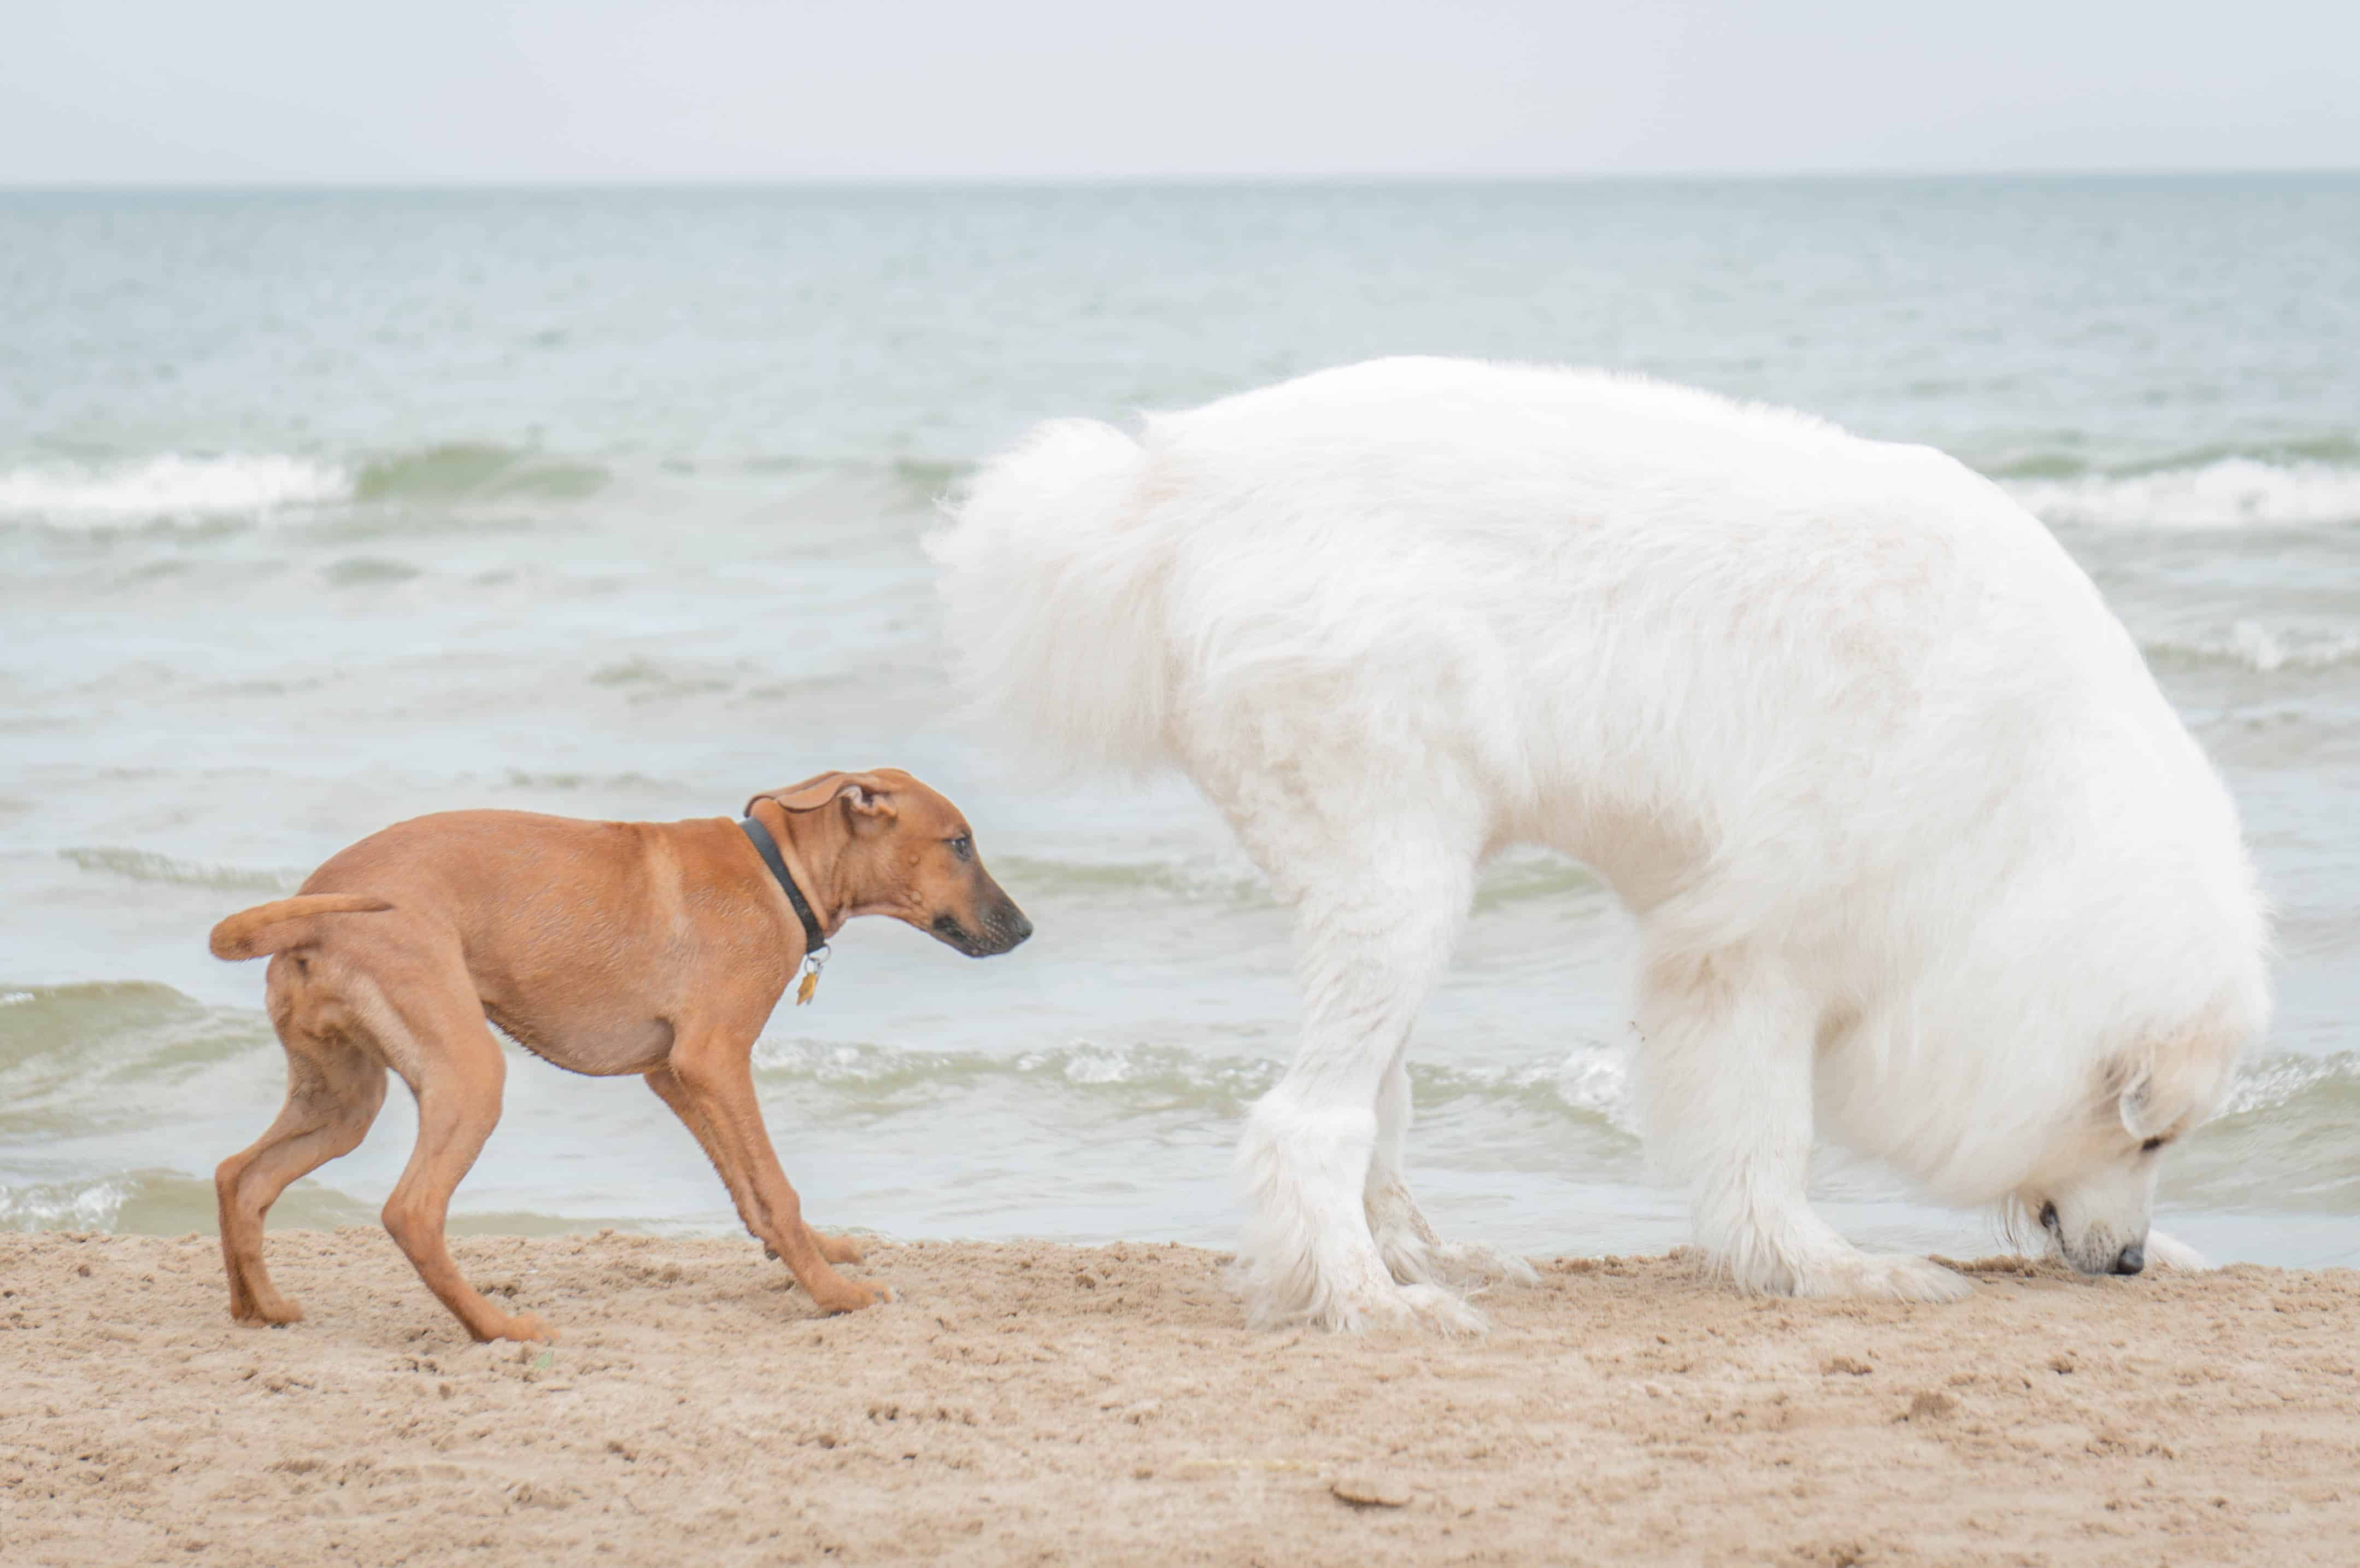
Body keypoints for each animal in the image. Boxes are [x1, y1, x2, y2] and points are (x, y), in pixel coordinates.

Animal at [210, 765, 1034, 1341]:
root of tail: (310, 912)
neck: (780, 873)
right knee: (410, 1212)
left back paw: (262, 1308)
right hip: (469, 1074)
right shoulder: (715, 1060)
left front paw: (814, 1254)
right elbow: (775, 1184)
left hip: (342, 1096)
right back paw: (497, 1328)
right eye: (959, 844)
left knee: (240, 1176)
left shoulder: (674, 1073)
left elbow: (749, 1188)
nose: (1025, 929)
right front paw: (837, 1295)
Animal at [925, 361, 2265, 1331]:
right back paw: (1366, 1300)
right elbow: (1765, 1142)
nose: (2127, 1262)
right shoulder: (1752, 956)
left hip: (1400, 885)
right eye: (2149, 1134)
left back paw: (1423, 1257)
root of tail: (1160, 492)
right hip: (1399, 875)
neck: (2033, 806)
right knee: (1312, 1121)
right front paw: (1827, 1267)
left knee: (1379, 1106)